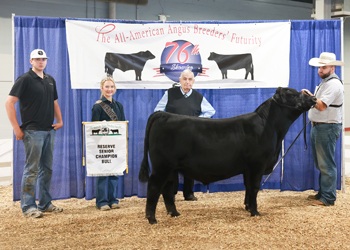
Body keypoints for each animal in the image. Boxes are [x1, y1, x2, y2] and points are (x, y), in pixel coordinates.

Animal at [139, 88, 318, 225]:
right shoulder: (257, 164)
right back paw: (152, 219)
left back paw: (174, 213)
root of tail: (163, 114)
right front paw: (255, 212)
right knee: (154, 187)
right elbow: (254, 187)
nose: (314, 98)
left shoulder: (248, 168)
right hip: (162, 166)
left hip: (171, 169)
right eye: (293, 94)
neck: (270, 128)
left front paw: (247, 207)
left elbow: (248, 187)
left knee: (167, 189)